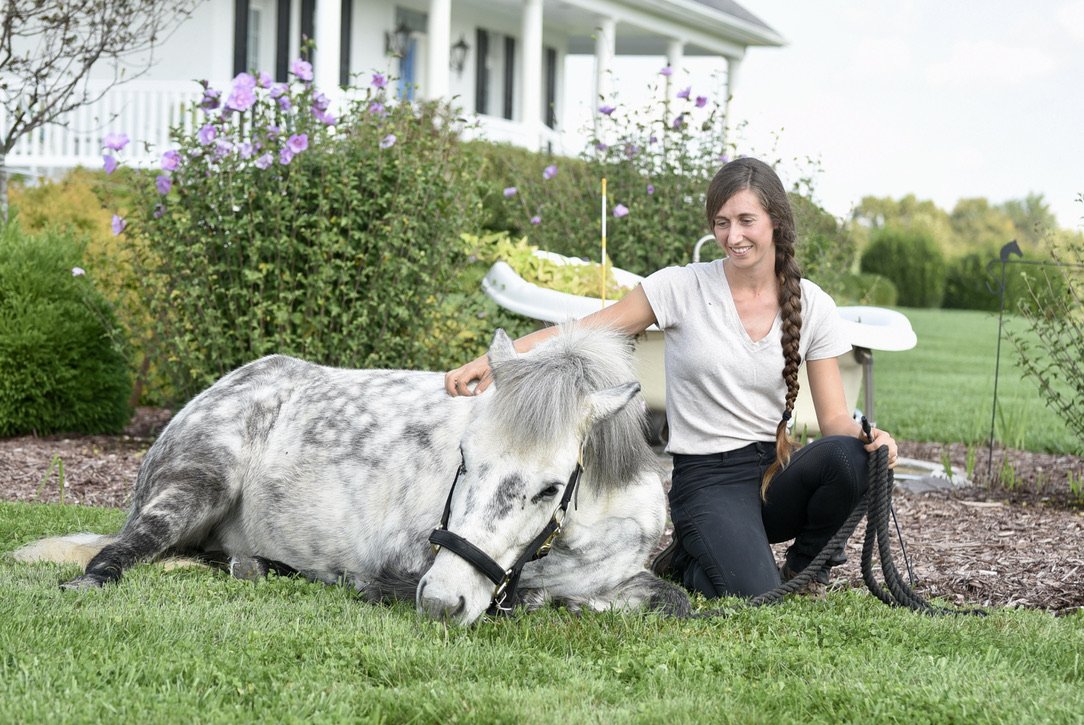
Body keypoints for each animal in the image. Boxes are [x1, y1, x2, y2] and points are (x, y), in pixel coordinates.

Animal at [14, 324, 690, 624]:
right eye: (463, 458)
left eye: (550, 488)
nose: (441, 603)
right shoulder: (406, 558)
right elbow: (527, 598)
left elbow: (672, 601)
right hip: (195, 486)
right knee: (126, 549)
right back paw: (94, 579)